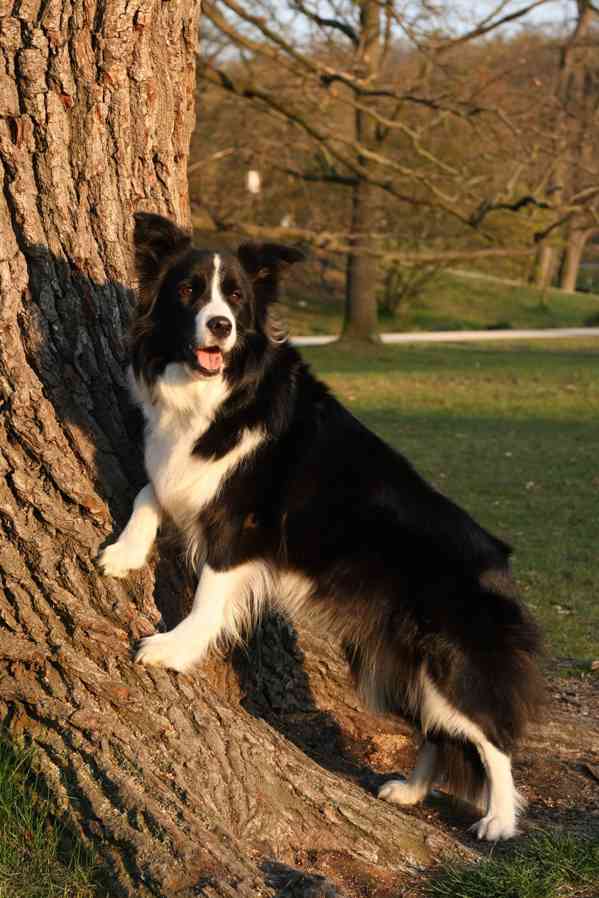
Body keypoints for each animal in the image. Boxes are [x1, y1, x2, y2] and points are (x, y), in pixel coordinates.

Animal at [99, 212, 544, 840]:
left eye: (236, 297)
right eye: (188, 290)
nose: (220, 326)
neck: (222, 388)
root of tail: (501, 566)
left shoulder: (242, 524)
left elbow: (208, 597)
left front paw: (172, 649)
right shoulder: (189, 474)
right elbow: (149, 489)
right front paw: (124, 554)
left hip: (451, 659)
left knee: (493, 735)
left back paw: (500, 821)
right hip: (392, 660)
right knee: (438, 729)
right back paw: (409, 791)